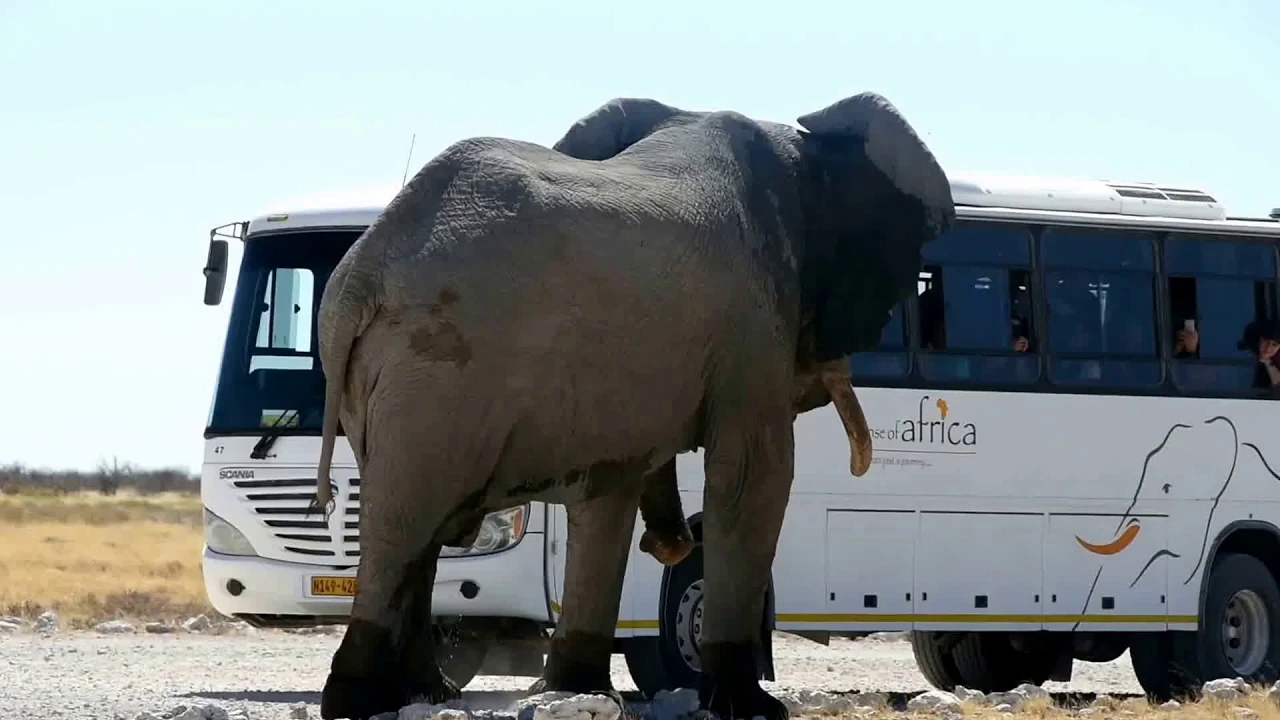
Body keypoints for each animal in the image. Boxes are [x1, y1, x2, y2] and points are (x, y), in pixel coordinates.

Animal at [307, 90, 952, 717]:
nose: (669, 543)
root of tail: (362, 273)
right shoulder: (752, 326)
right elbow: (753, 478)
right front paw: (755, 710)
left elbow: (608, 497)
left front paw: (579, 692)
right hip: (436, 373)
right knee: (408, 521)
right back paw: (356, 701)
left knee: (416, 523)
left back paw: (424, 695)